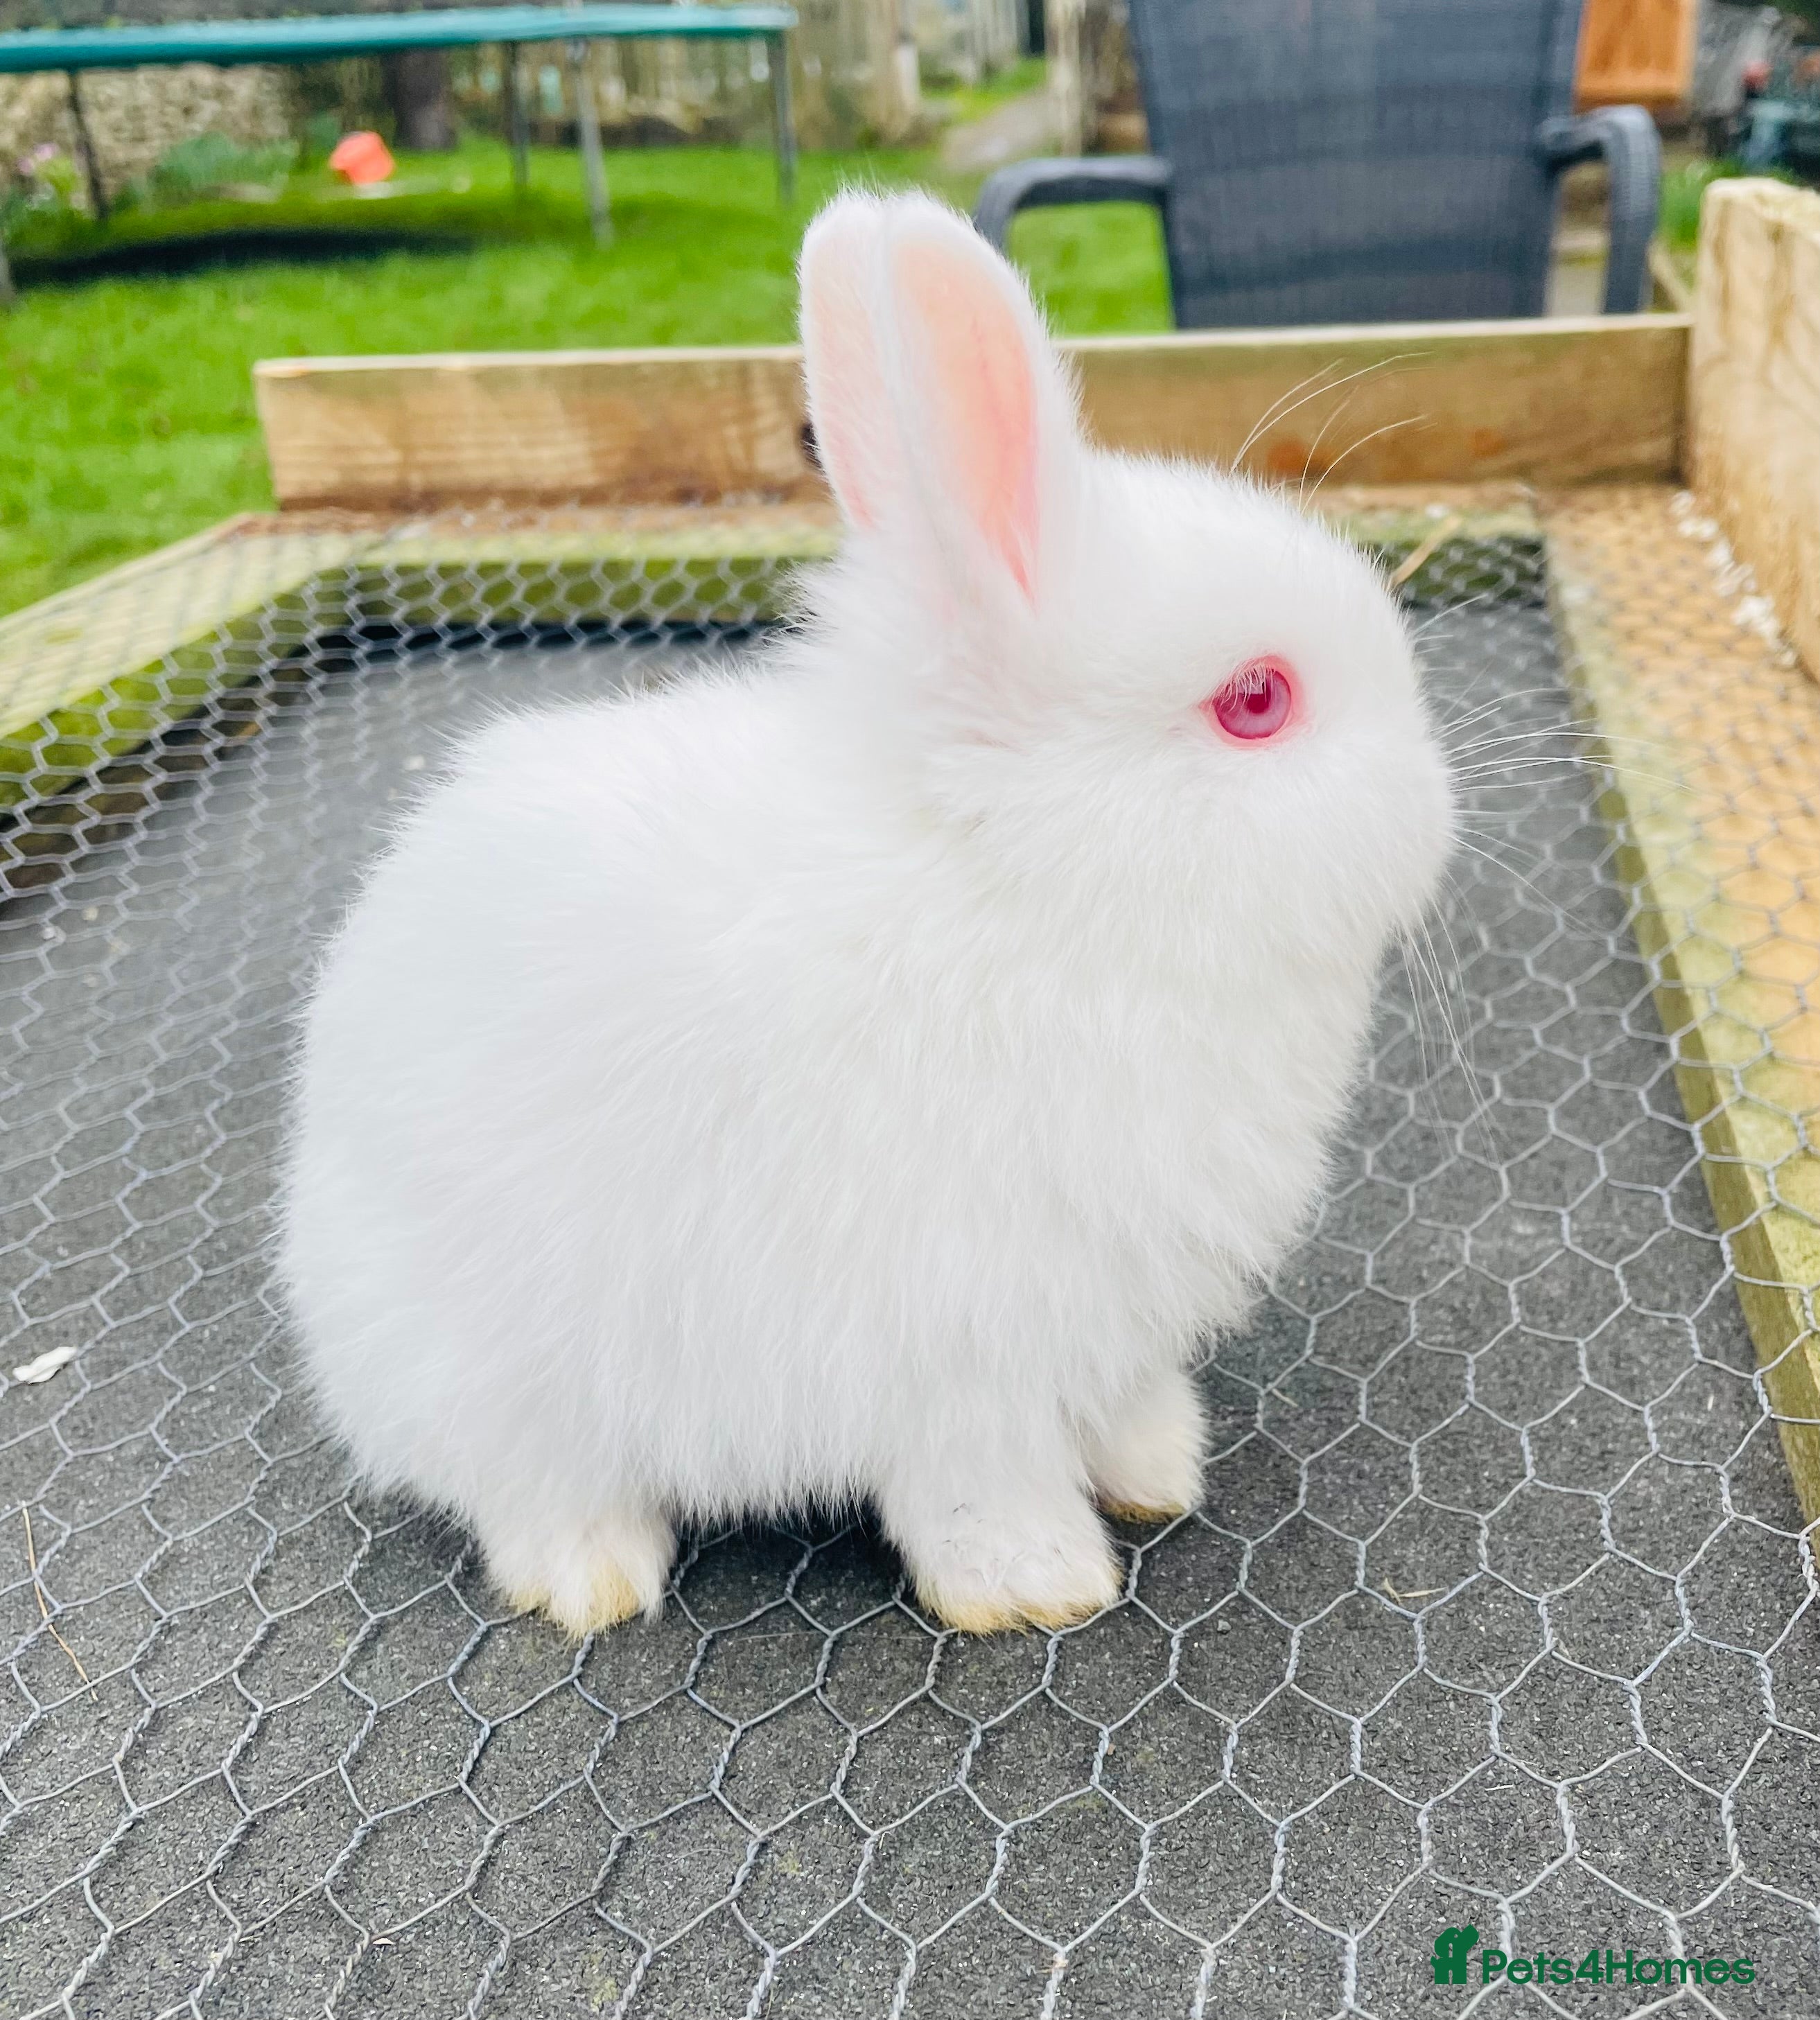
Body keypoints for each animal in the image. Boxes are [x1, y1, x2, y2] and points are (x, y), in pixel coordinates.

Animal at [280, 191, 1456, 1638]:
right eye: (1256, 700)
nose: (1437, 806)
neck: (1026, 889)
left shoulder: (1102, 1327)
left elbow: (1120, 1410)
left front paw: (1158, 1474)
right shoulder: (949, 1347)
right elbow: (975, 1486)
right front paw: (1039, 1587)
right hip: (487, 1372)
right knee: (522, 1488)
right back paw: (595, 1579)